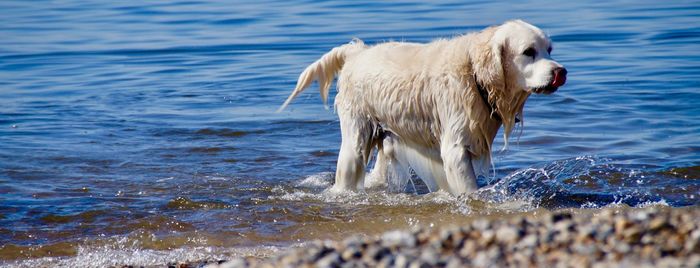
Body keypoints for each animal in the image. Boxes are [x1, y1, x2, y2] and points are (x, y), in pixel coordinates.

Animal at [276, 19, 568, 195]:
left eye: (549, 50)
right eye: (529, 51)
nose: (561, 71)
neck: (476, 74)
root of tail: (357, 51)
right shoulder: (455, 149)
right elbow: (468, 189)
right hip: (355, 140)